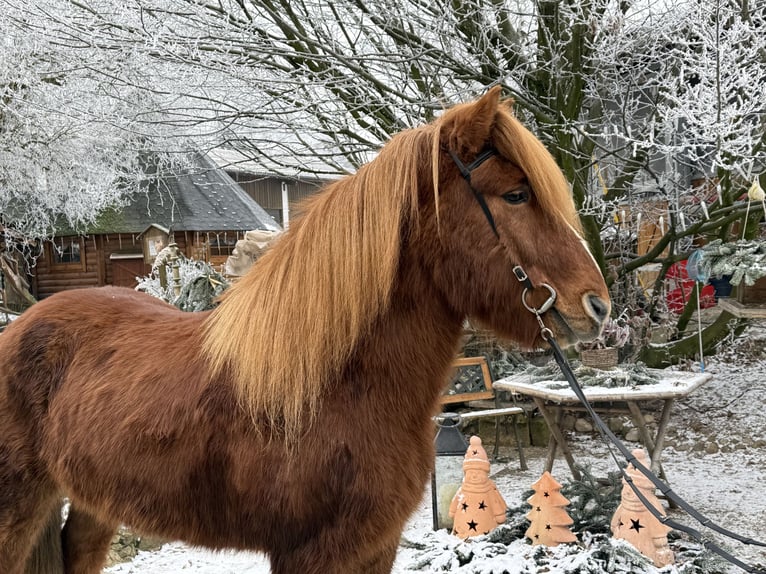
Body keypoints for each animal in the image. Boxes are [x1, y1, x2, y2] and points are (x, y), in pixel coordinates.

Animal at [0, 86, 610, 574]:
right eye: (516, 195)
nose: (598, 307)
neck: (333, 386)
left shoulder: (374, 548)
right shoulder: (310, 553)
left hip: (93, 504)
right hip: (18, 508)